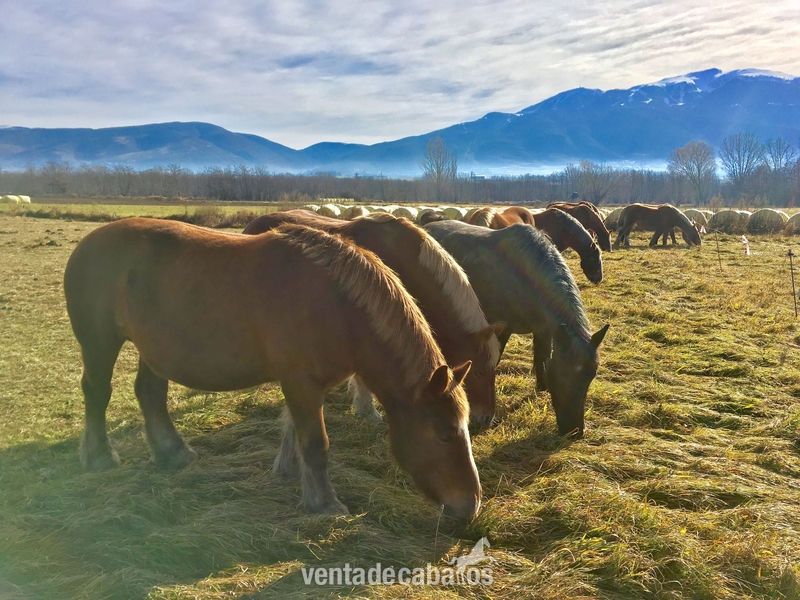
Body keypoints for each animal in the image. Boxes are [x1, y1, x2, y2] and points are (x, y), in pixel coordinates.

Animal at [64, 218, 481, 520]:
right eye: (445, 434)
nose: (470, 507)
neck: (339, 305)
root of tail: (87, 244)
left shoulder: (304, 386)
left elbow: (294, 432)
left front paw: (293, 474)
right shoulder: (301, 383)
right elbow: (316, 444)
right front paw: (324, 503)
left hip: (155, 350)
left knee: (150, 393)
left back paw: (173, 453)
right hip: (100, 343)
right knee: (97, 392)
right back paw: (99, 457)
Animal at [424, 220, 609, 437]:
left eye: (591, 375)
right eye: (562, 374)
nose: (574, 431)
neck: (525, 278)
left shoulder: (543, 330)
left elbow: (542, 358)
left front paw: (542, 388)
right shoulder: (502, 329)